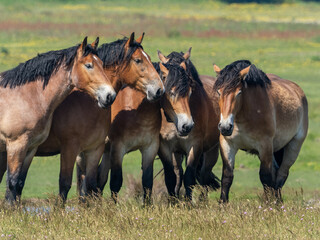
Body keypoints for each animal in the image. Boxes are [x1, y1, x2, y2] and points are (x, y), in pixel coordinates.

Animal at [0, 37, 115, 202]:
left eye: (101, 63)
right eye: (89, 65)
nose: (110, 96)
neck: (27, 97)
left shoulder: (30, 148)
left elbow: (19, 184)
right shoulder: (16, 146)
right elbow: (12, 184)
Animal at [89, 54, 195, 204]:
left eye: (190, 93)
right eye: (172, 92)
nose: (187, 125)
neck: (136, 109)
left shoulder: (150, 147)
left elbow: (147, 181)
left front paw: (147, 206)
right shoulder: (118, 148)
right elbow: (116, 182)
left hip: (106, 151)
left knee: (100, 177)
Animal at [157, 48, 221, 201]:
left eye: (190, 91)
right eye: (170, 92)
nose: (187, 125)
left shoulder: (195, 145)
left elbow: (190, 178)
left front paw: (188, 203)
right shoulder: (164, 147)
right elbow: (171, 178)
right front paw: (173, 202)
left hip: (211, 152)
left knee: (204, 176)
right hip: (177, 152)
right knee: (178, 172)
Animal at [214, 60, 308, 202]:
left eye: (239, 92)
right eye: (219, 92)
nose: (225, 127)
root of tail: (298, 90)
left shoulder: (265, 146)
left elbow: (265, 177)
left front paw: (268, 205)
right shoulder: (227, 145)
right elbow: (227, 177)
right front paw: (222, 204)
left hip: (294, 146)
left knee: (281, 176)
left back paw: (276, 202)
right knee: (275, 174)